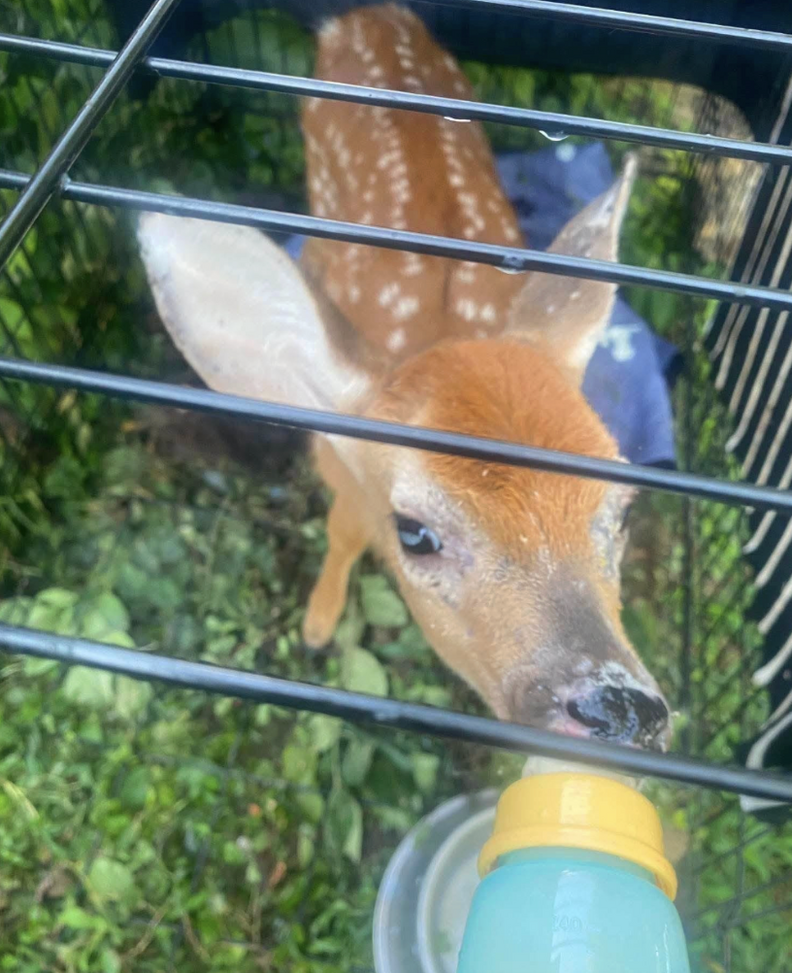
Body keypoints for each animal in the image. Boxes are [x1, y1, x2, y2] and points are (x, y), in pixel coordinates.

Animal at [137, 3, 671, 752]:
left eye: (623, 511)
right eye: (415, 532)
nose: (620, 708)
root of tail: (367, 14)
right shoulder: (338, 464)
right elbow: (343, 533)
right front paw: (318, 624)